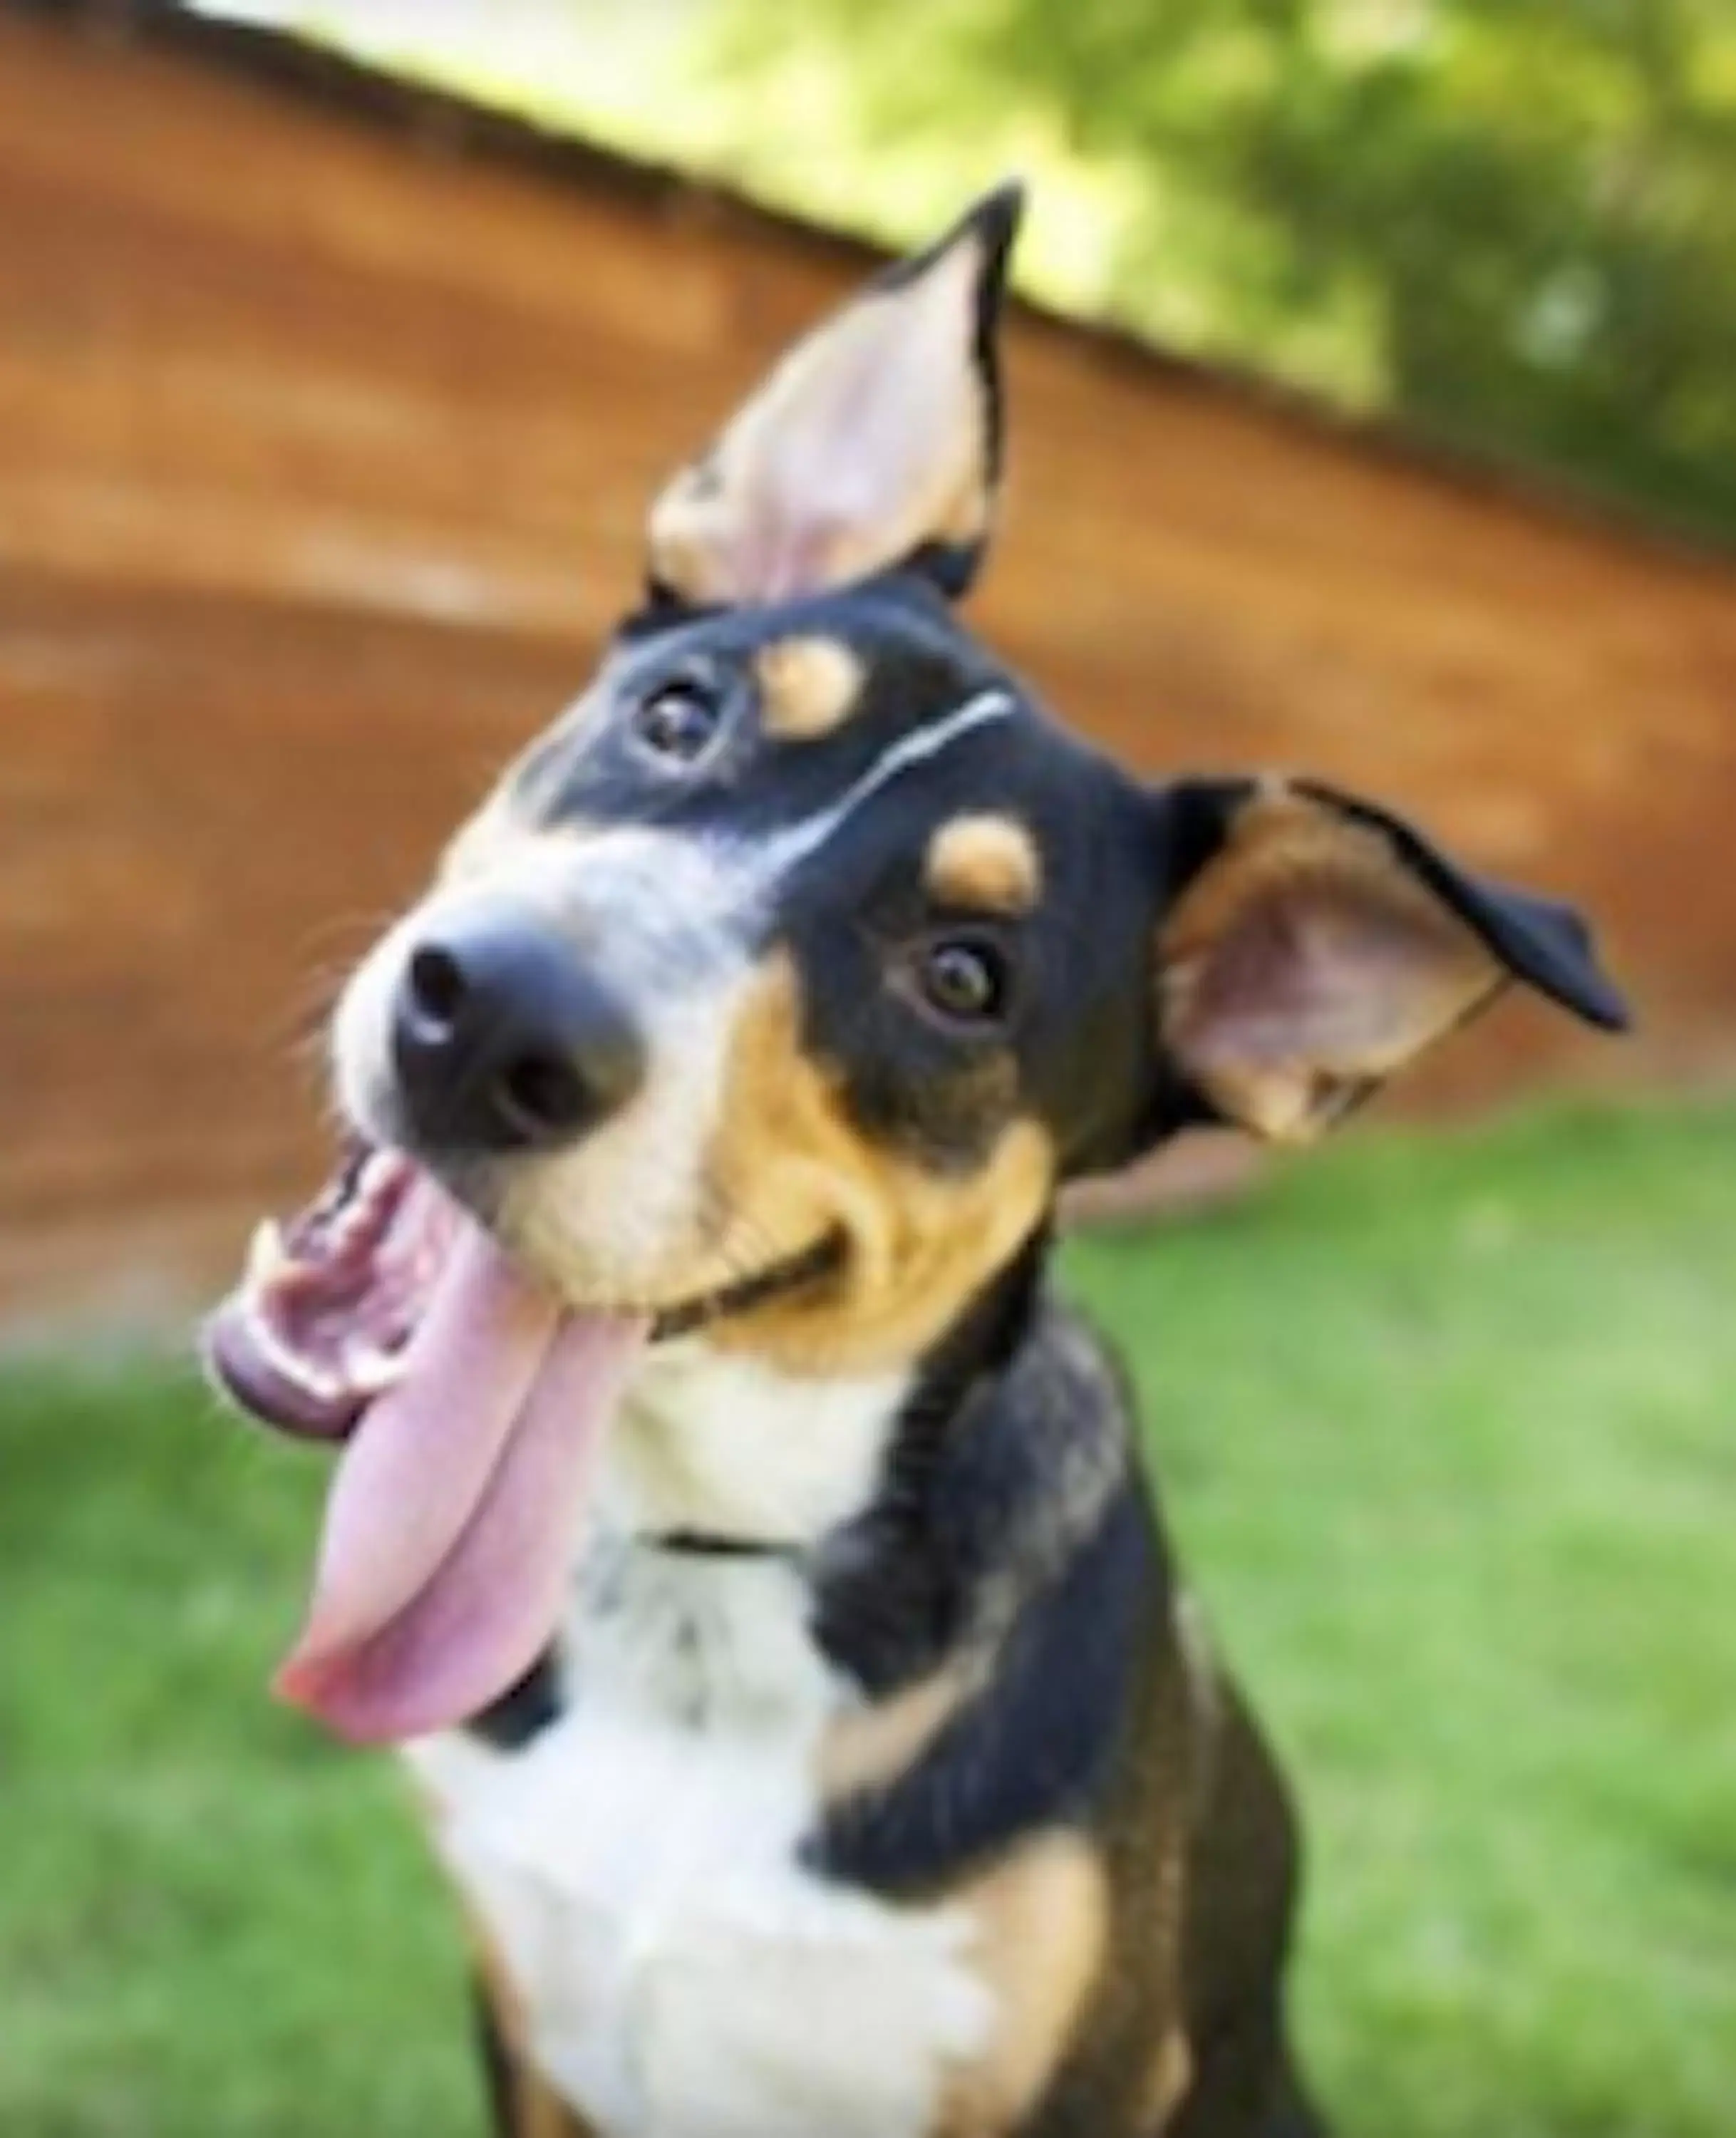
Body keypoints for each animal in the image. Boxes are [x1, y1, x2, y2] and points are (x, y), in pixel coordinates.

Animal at [203, 188, 1625, 2138]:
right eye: (680, 715)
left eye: (964, 978)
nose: (487, 1021)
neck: (712, 1587)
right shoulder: (525, 2016)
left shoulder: (1075, 2080)